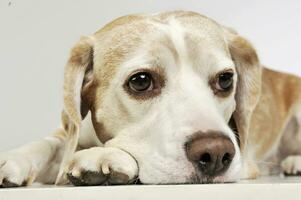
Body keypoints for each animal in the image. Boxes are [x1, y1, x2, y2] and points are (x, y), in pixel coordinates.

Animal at [0, 10, 300, 187]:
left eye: (225, 79)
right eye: (141, 81)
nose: (216, 154)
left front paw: (104, 156)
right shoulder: (70, 132)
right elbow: (48, 144)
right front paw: (13, 160)